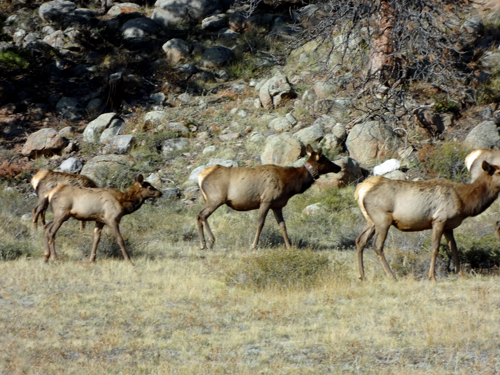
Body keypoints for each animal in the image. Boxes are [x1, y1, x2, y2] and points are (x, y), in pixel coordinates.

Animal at [197, 145, 342, 251]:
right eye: (325, 159)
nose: (339, 167)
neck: (291, 185)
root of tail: (200, 176)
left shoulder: (277, 205)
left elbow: (283, 225)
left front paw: (289, 246)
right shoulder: (266, 200)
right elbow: (260, 223)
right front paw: (253, 246)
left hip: (209, 200)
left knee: (199, 216)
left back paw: (203, 244)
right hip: (215, 198)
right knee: (202, 215)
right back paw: (210, 241)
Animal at [356, 161, 500, 282]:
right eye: (498, 172)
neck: (464, 202)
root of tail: (360, 192)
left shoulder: (448, 226)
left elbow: (454, 248)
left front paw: (462, 275)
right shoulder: (439, 220)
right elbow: (434, 248)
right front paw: (432, 277)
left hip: (371, 221)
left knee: (360, 241)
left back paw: (362, 276)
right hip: (383, 220)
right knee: (377, 245)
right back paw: (392, 276)